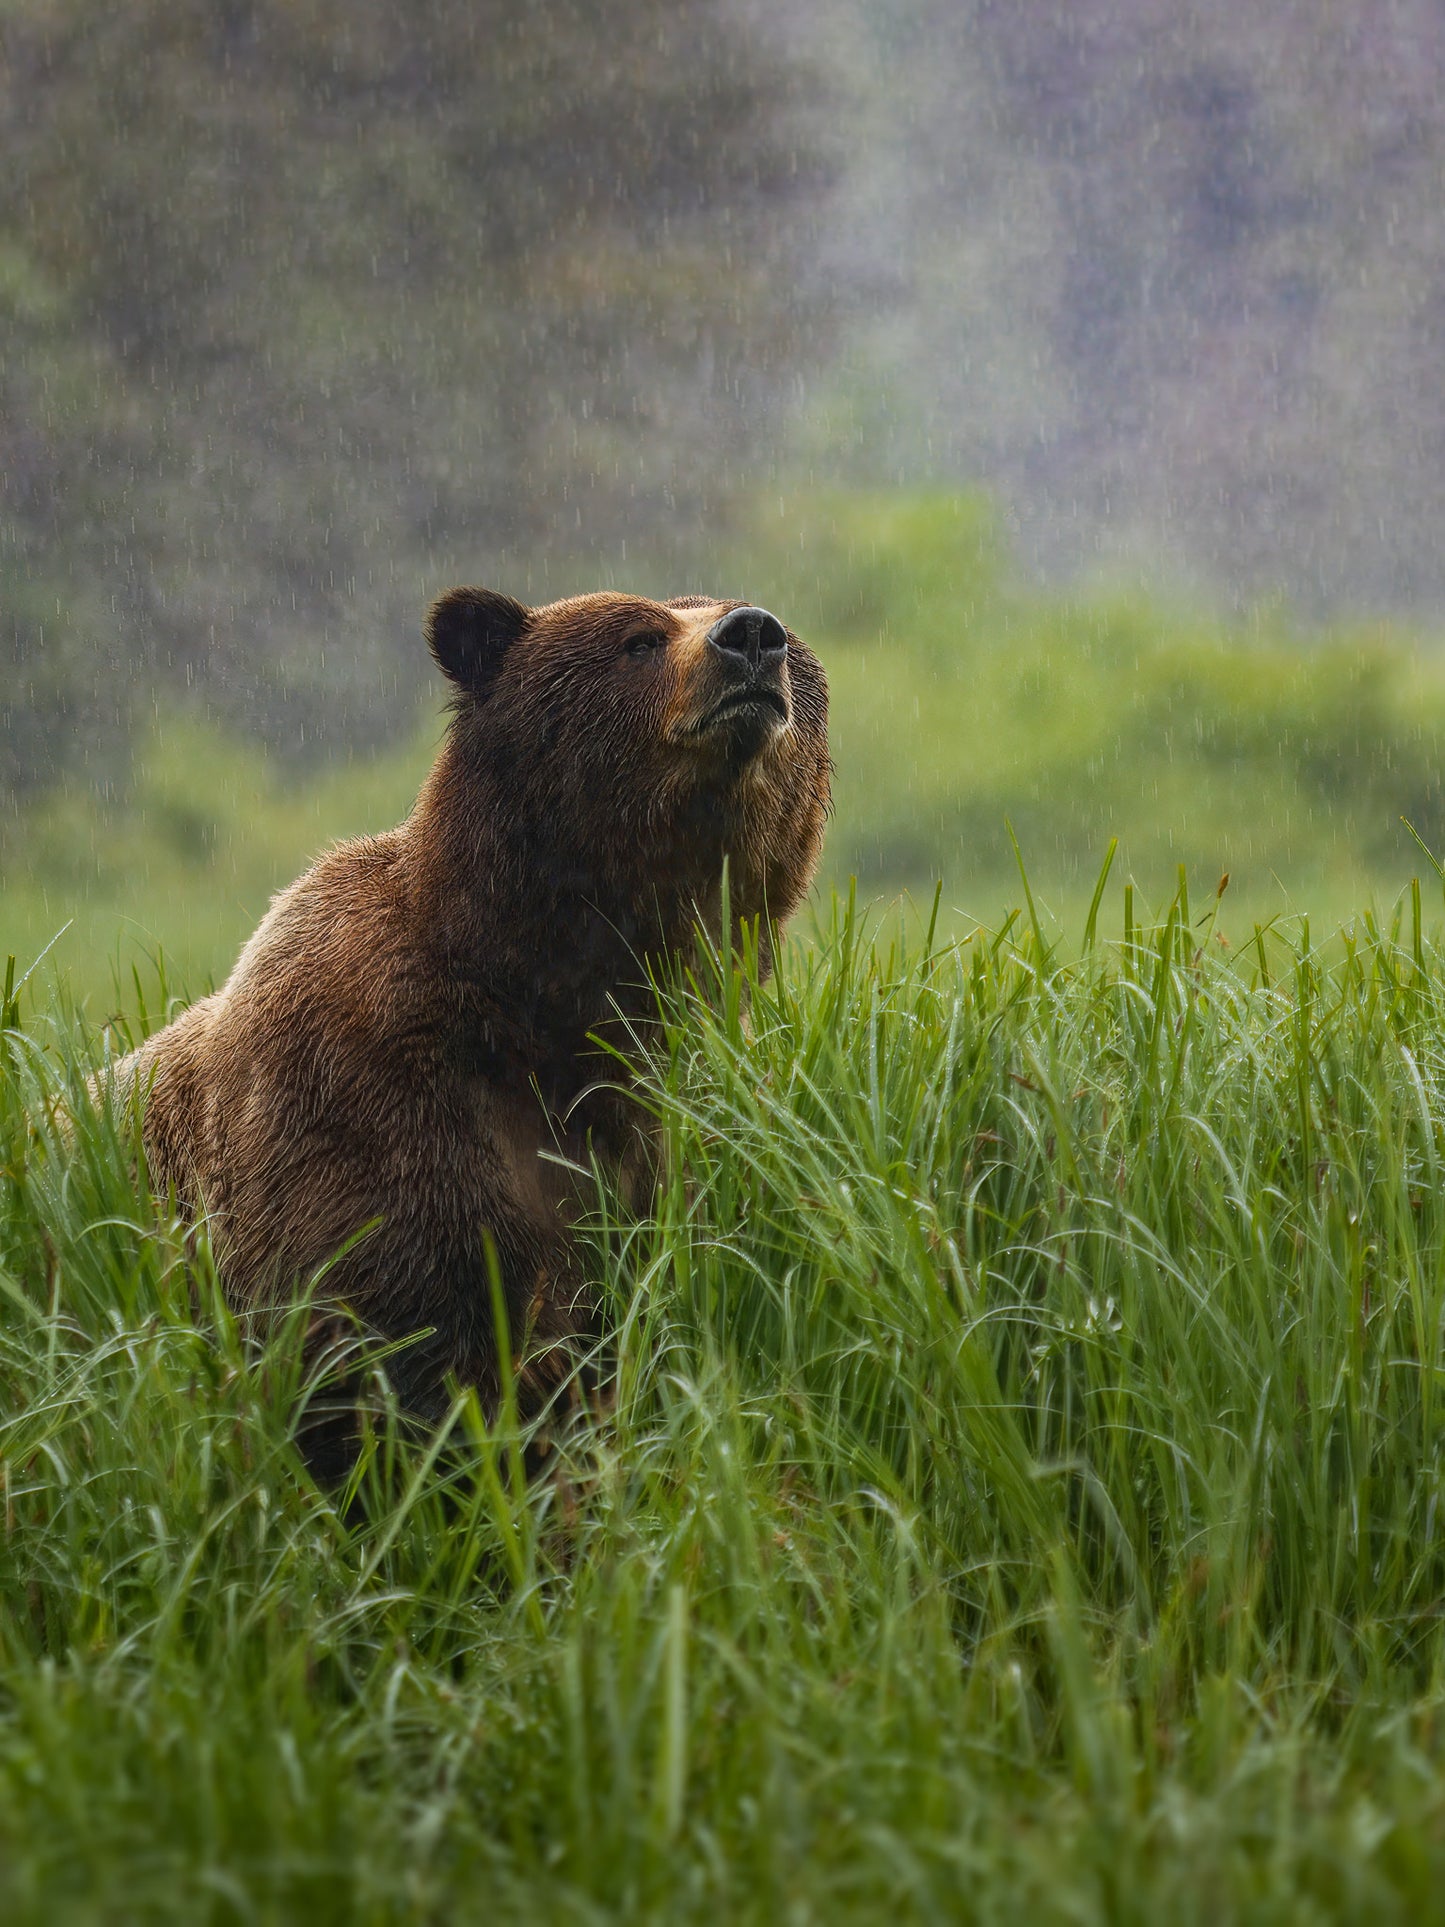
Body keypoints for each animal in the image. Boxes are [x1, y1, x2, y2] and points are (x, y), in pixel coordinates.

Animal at [107, 585, 832, 1433]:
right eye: (639, 640)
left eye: (782, 638)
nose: (751, 636)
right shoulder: (370, 1102)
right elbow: (391, 1342)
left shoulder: (686, 1120)